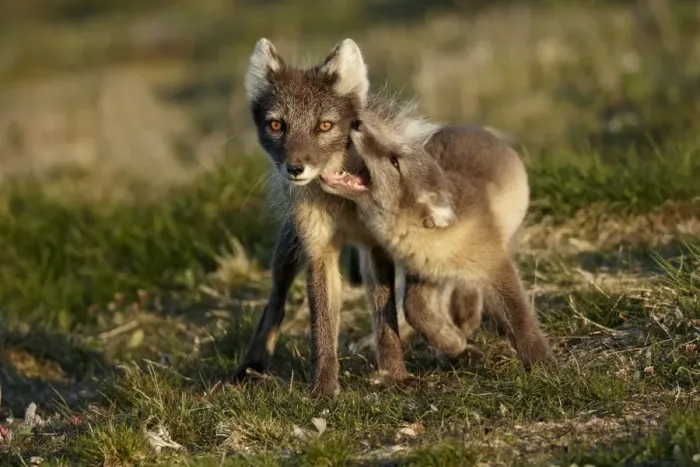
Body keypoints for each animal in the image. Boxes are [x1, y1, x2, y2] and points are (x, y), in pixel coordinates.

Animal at [233, 37, 486, 396]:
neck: (345, 203)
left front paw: (396, 374)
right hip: (290, 248)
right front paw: (324, 387)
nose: (295, 169)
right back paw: (252, 365)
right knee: (275, 302)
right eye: (276, 125)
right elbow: (322, 324)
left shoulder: (376, 247)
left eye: (324, 125)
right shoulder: (319, 250)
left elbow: (387, 316)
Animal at [319, 121, 555, 368]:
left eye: (395, 161)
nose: (357, 123)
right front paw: (454, 343)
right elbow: (414, 310)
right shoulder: (425, 272)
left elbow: (520, 318)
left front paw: (544, 364)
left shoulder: (496, 265)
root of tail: (472, 126)